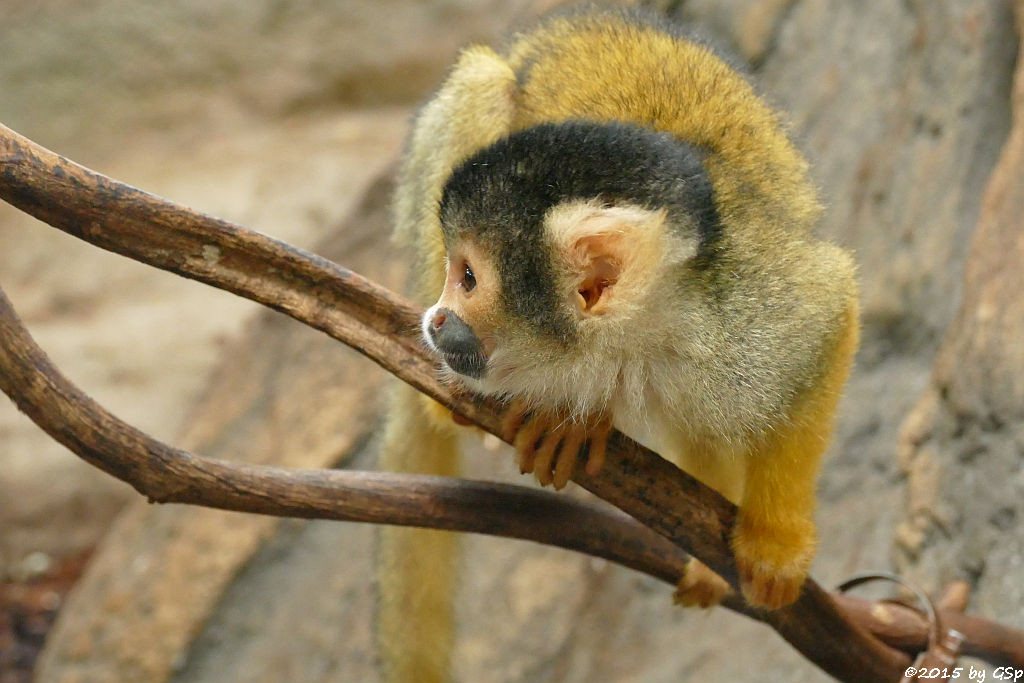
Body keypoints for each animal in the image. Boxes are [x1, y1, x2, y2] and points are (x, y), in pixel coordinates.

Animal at [376, 6, 856, 683]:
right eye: (452, 269)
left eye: (468, 278)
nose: (436, 320)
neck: (644, 329)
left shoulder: (751, 318)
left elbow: (830, 319)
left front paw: (774, 540)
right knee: (483, 82)